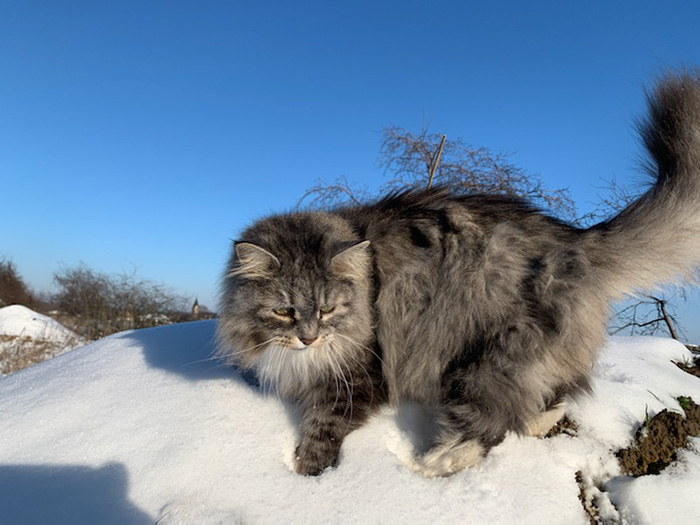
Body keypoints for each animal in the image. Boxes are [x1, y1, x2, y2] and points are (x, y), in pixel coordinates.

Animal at [216, 72, 700, 477]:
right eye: (284, 312)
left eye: (326, 309)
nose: (309, 338)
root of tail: (576, 239)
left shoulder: (360, 373)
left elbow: (324, 421)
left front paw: (308, 470)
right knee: (550, 399)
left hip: (485, 359)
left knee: (490, 426)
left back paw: (432, 464)